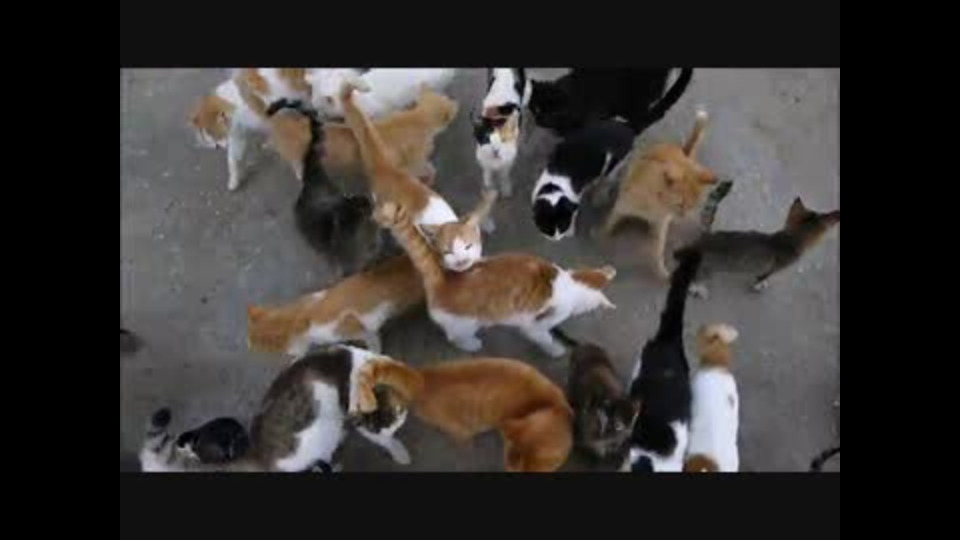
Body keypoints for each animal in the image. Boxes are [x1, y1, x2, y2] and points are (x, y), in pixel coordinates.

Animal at [372, 199, 617, 358]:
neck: (571, 283)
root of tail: (445, 278)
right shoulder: (534, 326)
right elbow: (544, 338)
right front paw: (556, 350)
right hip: (466, 324)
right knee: (455, 337)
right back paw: (471, 345)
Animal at [472, 68, 530, 202]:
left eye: (504, 140)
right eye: (486, 139)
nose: (496, 151)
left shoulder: (508, 160)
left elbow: (504, 175)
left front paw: (505, 190)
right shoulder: (483, 157)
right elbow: (487, 174)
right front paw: (489, 187)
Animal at [552, 327, 641, 462]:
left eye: (632, 423)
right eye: (619, 425)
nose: (628, 436)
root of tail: (585, 345)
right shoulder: (592, 436)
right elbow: (595, 446)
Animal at [599, 109, 718, 280]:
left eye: (693, 206)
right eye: (680, 205)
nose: (683, 216)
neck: (655, 204)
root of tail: (683, 153)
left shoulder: (662, 225)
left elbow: (658, 252)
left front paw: (661, 271)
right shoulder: (621, 208)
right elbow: (609, 225)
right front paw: (600, 237)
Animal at [676, 196, 840, 298]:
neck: (790, 239)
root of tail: (703, 239)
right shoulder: (773, 268)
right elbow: (763, 278)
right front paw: (759, 285)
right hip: (707, 268)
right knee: (693, 278)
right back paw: (697, 289)